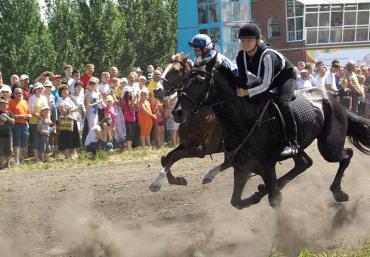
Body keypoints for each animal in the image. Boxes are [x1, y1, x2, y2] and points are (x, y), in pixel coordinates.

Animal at [149, 53, 230, 190]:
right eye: (165, 68)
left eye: (176, 70)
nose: (157, 90)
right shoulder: (186, 144)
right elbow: (166, 158)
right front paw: (176, 180)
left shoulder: (201, 149)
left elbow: (174, 156)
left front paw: (156, 183)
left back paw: (209, 175)